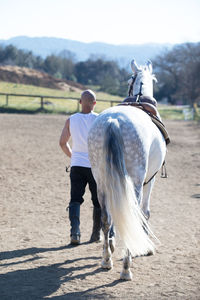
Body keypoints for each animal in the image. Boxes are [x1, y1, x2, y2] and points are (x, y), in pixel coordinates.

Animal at [88, 59, 166, 282]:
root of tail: (114, 120)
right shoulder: (150, 180)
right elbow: (145, 212)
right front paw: (147, 247)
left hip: (102, 180)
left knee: (106, 217)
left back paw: (106, 260)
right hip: (136, 181)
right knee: (132, 212)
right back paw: (126, 269)